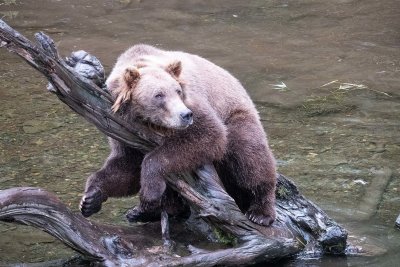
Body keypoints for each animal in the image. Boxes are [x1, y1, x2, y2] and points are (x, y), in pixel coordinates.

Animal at [79, 45, 276, 227]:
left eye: (178, 91)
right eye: (159, 95)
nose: (185, 115)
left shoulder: (195, 103)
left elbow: (209, 135)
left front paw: (149, 193)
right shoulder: (122, 125)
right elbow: (126, 164)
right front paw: (90, 199)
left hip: (236, 115)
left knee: (249, 158)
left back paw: (260, 212)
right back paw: (148, 212)